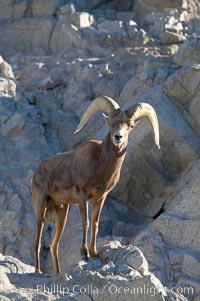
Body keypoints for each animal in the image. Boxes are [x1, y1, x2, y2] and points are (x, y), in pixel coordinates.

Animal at [31, 95, 159, 274]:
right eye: (111, 123)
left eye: (130, 125)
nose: (118, 137)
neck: (100, 164)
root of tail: (37, 172)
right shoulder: (83, 196)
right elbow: (85, 223)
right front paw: (84, 253)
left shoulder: (100, 199)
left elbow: (95, 224)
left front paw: (94, 253)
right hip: (40, 208)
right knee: (37, 241)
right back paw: (38, 271)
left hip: (62, 211)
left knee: (53, 244)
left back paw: (58, 273)